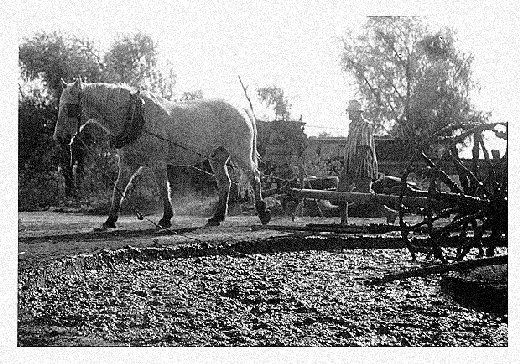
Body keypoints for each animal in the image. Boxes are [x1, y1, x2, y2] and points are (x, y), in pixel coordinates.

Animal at [53, 78, 272, 229]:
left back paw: (263, 213)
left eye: (70, 107)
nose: (60, 138)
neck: (135, 116)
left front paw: (166, 218)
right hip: (217, 157)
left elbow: (163, 188)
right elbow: (119, 188)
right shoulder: (129, 163)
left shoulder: (157, 162)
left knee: (254, 177)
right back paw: (216, 217)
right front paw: (110, 220)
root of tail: (242, 109)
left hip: (240, 153)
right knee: (225, 183)